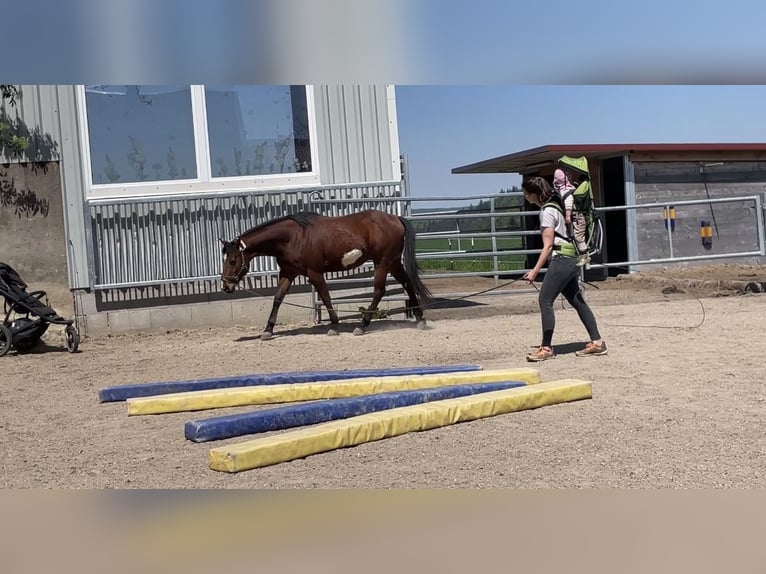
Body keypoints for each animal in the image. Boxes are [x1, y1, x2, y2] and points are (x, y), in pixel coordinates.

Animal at [219, 209, 432, 339]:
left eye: (232, 261)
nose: (225, 286)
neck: (293, 237)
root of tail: (396, 218)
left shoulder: (314, 272)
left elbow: (326, 297)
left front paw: (334, 326)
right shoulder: (288, 272)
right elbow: (278, 298)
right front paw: (268, 330)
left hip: (383, 262)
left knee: (379, 291)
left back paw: (362, 326)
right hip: (393, 262)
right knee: (408, 285)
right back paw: (420, 320)